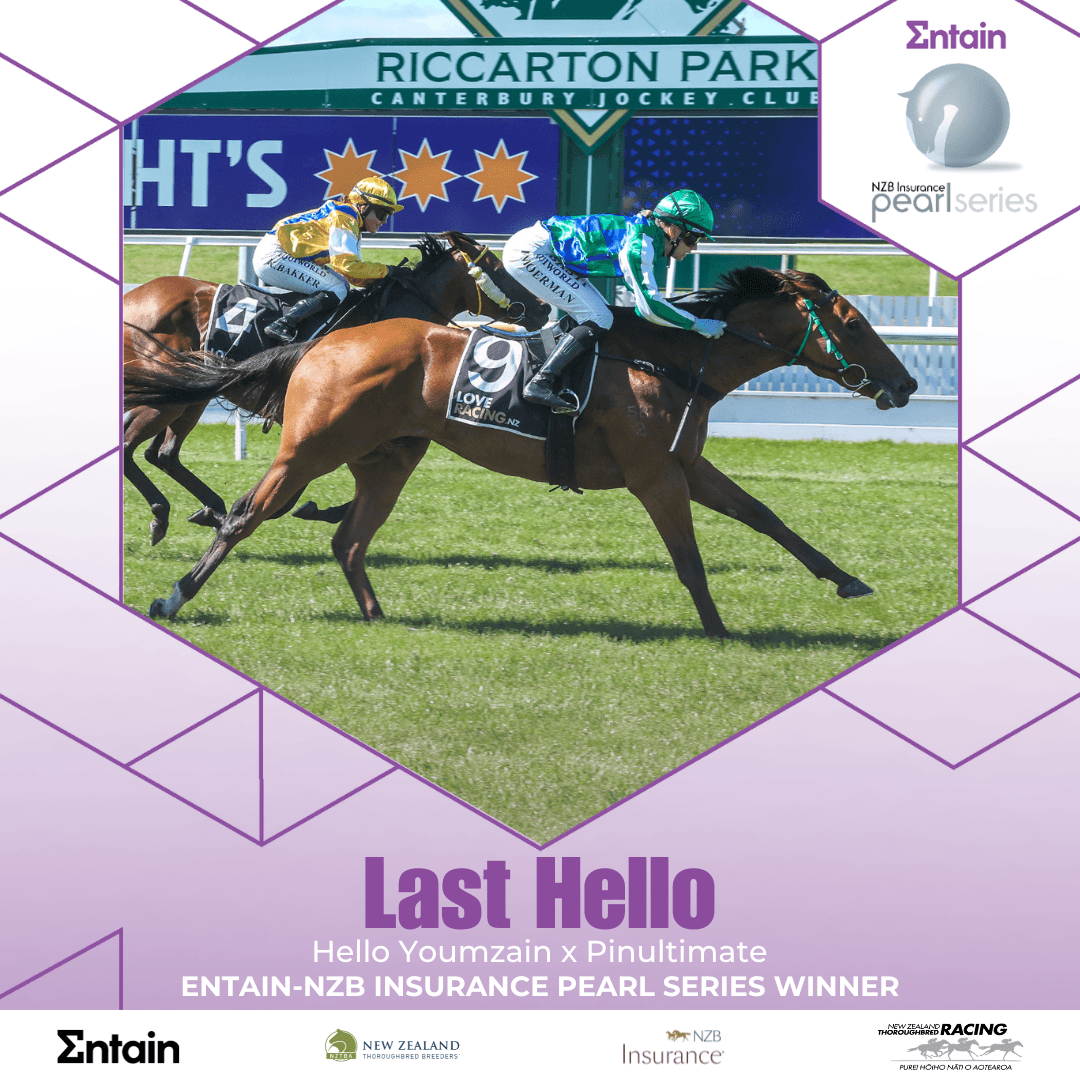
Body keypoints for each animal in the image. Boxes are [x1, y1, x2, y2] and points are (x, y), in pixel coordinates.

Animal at [123, 231, 548, 544]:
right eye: (497, 267)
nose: (543, 308)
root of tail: (132, 296)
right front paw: (295, 507)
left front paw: (311, 509)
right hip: (167, 398)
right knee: (133, 448)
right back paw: (164, 515)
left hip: (187, 396)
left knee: (162, 454)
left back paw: (209, 508)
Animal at [124, 268, 918, 638]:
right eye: (853, 323)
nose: (906, 383)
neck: (671, 360)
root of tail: (323, 342)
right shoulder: (655, 476)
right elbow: (689, 559)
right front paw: (720, 631)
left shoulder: (687, 467)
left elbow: (766, 516)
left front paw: (846, 579)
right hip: (310, 447)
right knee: (245, 514)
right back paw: (175, 591)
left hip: (390, 457)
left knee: (348, 540)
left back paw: (379, 617)